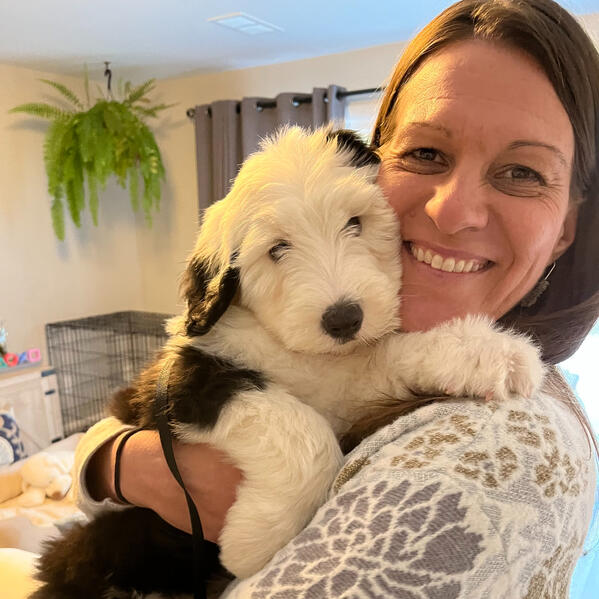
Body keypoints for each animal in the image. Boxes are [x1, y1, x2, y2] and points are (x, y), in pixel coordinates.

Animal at [34, 126, 548, 599]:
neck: (302, 353)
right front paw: (255, 542)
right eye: (278, 248)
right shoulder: (181, 385)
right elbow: (299, 427)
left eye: (355, 223)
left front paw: (496, 354)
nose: (343, 319)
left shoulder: (354, 378)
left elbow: (392, 352)